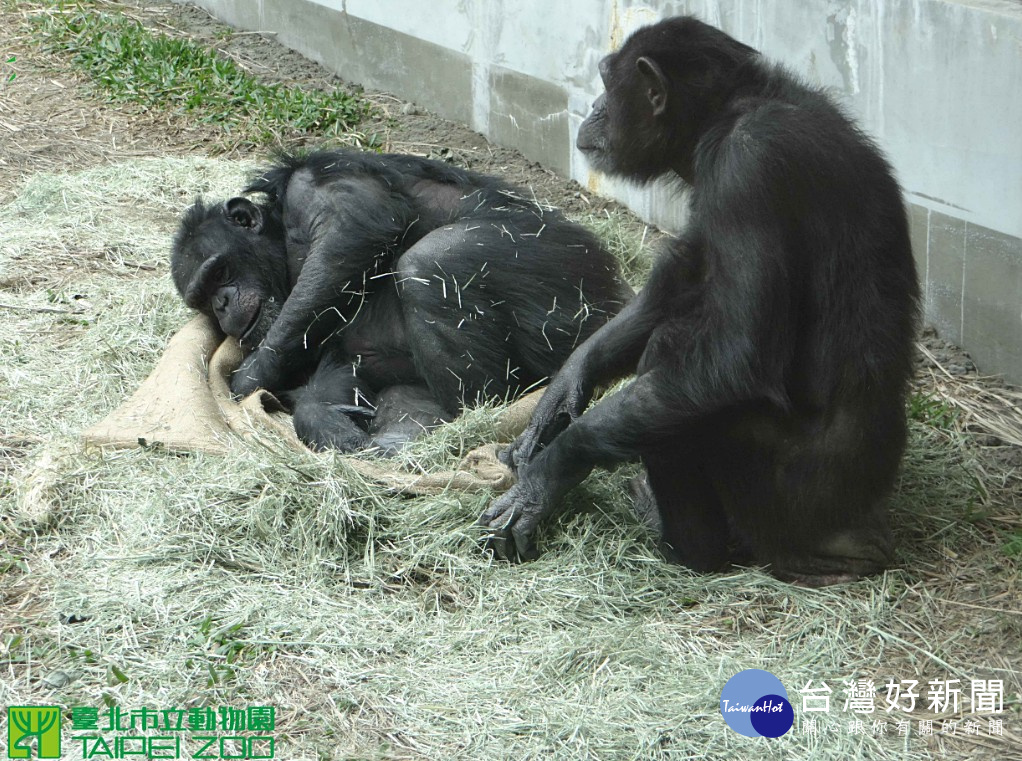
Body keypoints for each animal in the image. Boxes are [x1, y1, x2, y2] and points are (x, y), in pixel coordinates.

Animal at [170, 151, 629, 453]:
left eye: (219, 273)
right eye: (203, 299)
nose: (223, 303)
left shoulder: (312, 187)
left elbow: (355, 231)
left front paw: (248, 379)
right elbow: (336, 377)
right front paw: (324, 420)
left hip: (568, 286)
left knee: (432, 261)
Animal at [482, 17, 923, 588]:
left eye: (605, 82)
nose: (595, 106)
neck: (727, 113)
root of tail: (860, 536)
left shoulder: (747, 171)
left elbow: (739, 352)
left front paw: (548, 473)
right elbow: (686, 271)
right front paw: (562, 391)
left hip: (788, 506)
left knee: (676, 367)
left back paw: (685, 542)